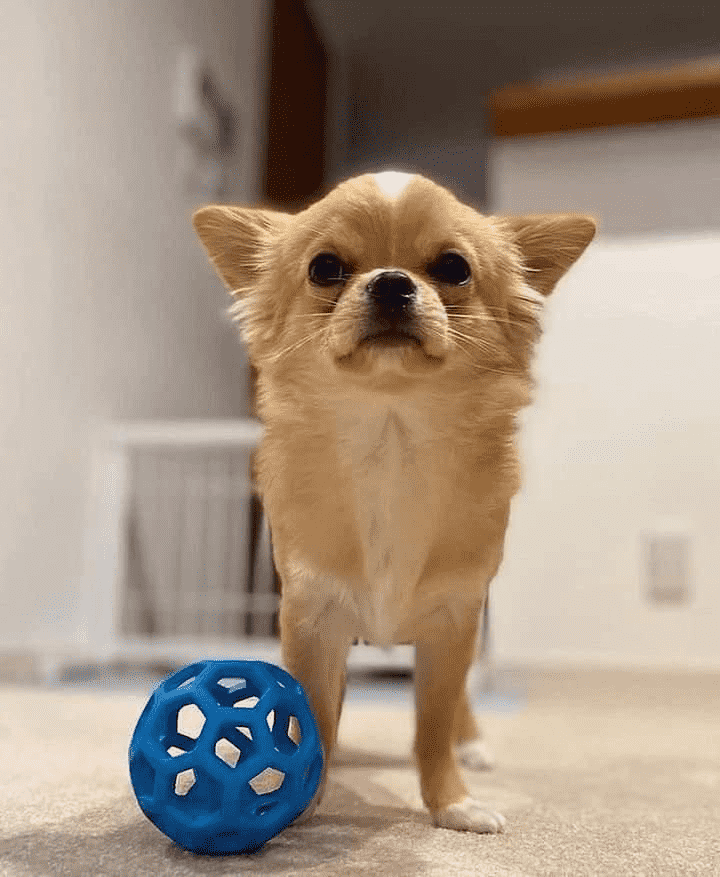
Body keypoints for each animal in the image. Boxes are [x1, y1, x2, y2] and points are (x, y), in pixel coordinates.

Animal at [193, 171, 595, 834]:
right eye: (325, 268)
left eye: (454, 268)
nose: (390, 281)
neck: (391, 437)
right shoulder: (312, 617)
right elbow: (312, 712)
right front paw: (303, 798)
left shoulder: (453, 620)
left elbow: (433, 723)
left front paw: (452, 804)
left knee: (460, 704)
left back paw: (473, 743)